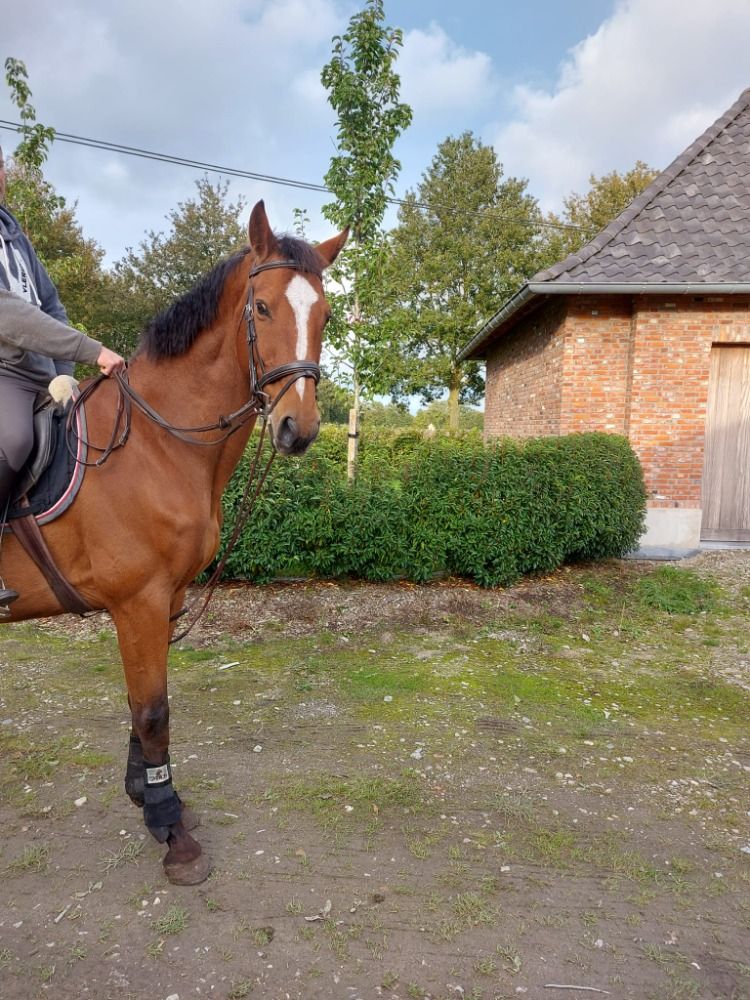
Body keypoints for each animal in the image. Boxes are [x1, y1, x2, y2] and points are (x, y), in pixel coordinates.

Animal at [0, 201, 347, 884]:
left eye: (323, 314)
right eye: (261, 307)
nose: (297, 429)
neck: (158, 445)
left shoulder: (167, 599)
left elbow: (145, 703)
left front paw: (148, 796)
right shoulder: (137, 601)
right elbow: (152, 711)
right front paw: (170, 829)